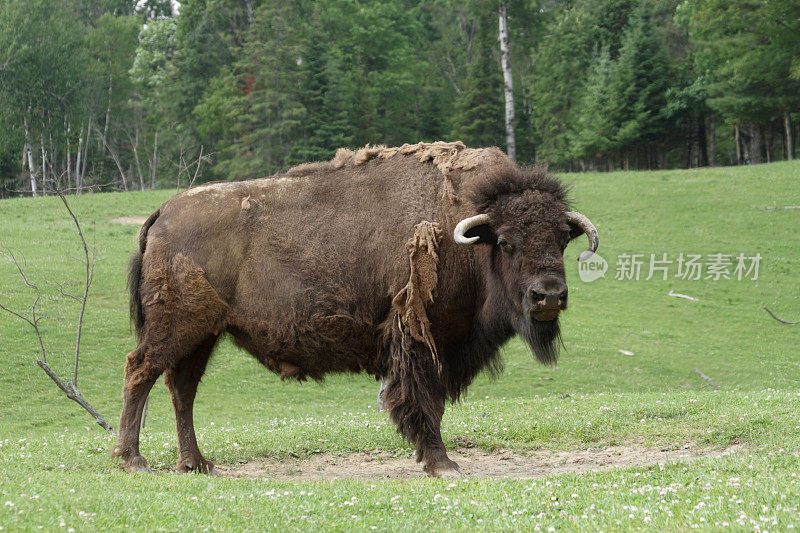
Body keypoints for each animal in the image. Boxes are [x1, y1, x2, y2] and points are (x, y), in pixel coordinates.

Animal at [115, 141, 596, 478]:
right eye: (508, 242)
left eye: (561, 239)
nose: (548, 296)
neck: (471, 233)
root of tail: (162, 214)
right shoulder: (421, 341)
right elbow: (423, 401)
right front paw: (443, 464)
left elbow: (432, 403)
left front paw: (436, 461)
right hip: (177, 328)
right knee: (141, 371)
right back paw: (134, 461)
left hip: (204, 334)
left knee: (182, 388)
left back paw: (197, 464)